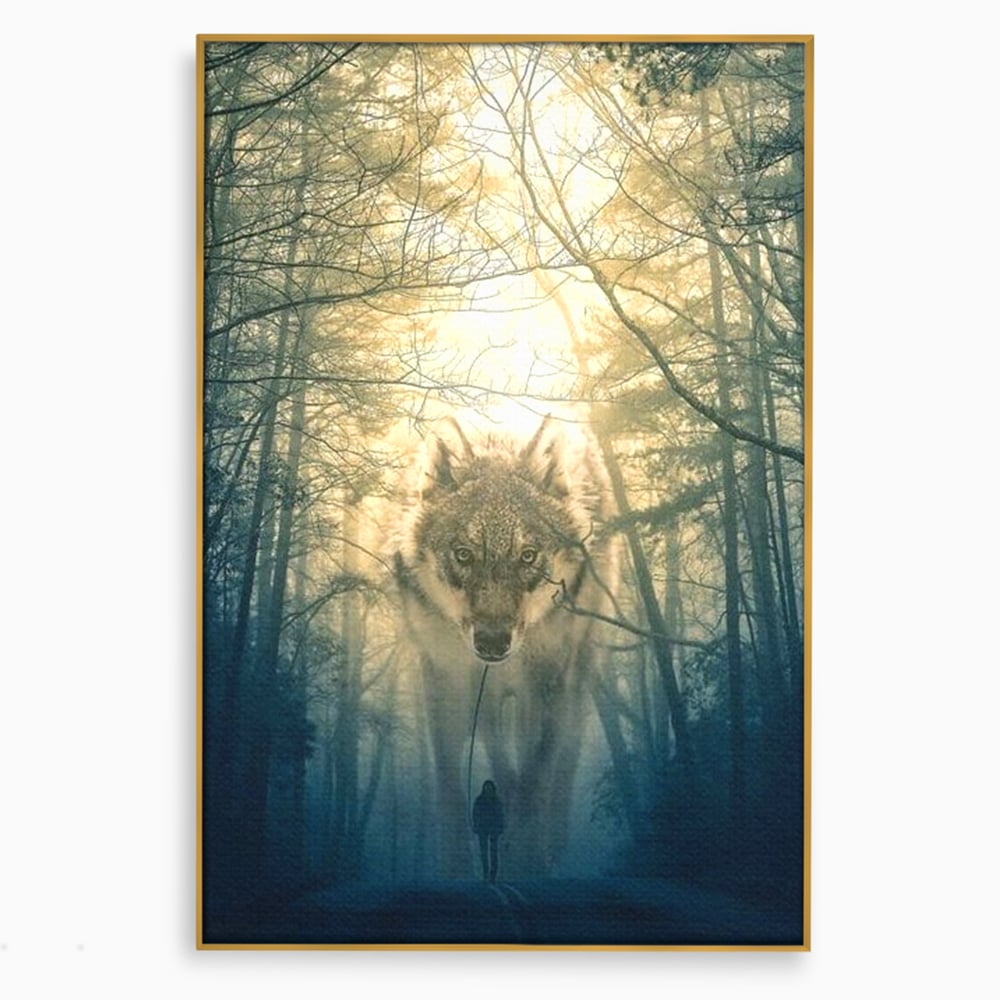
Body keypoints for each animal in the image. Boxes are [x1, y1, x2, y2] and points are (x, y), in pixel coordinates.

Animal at [394, 414, 618, 878]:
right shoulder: (445, 679)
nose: (493, 642)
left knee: (560, 766)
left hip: (574, 684)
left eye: (528, 556)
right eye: (463, 555)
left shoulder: (548, 681)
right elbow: (450, 786)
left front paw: (531, 866)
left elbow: (536, 782)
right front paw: (457, 874)